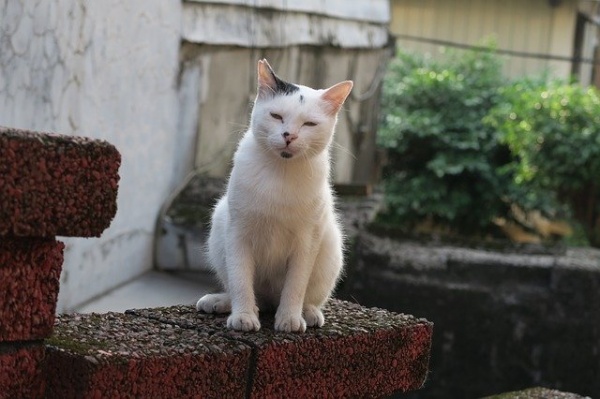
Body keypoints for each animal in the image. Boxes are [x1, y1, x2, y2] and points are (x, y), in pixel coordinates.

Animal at [197, 58, 354, 334]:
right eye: (277, 116)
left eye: (309, 124)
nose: (289, 135)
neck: (280, 172)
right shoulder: (238, 233)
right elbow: (240, 279)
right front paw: (244, 316)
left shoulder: (307, 241)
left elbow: (296, 285)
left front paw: (289, 318)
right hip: (219, 226)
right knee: (248, 292)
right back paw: (222, 302)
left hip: (331, 244)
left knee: (305, 297)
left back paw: (308, 312)